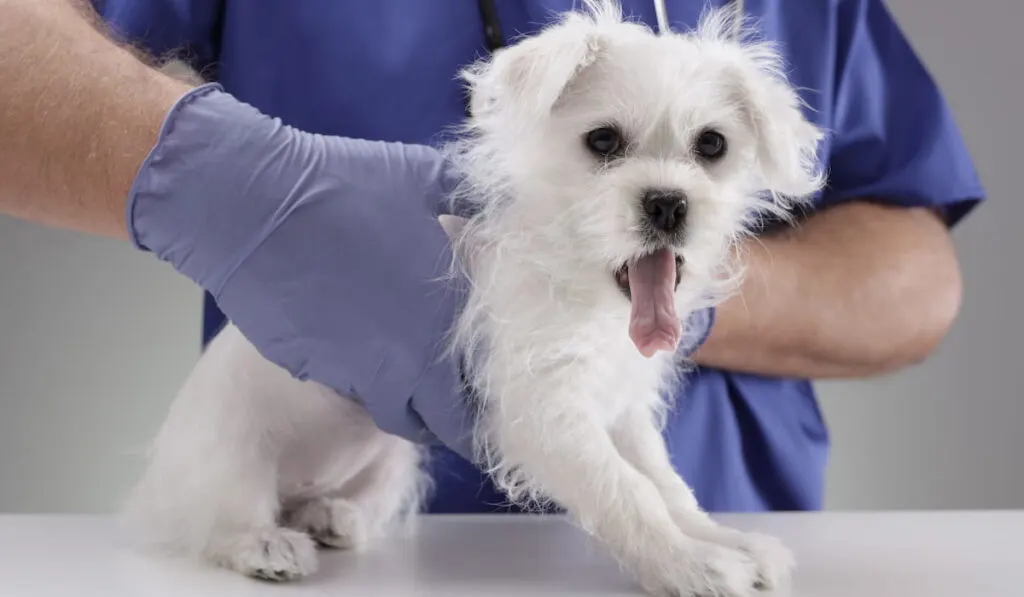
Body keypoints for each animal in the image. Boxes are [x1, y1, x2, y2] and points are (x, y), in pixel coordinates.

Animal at [121, 2, 823, 593]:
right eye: (602, 142)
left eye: (712, 146)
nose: (669, 203)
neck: (582, 286)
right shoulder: (543, 412)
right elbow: (629, 492)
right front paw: (691, 564)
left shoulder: (620, 408)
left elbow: (669, 486)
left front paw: (720, 540)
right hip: (230, 453)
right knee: (220, 521)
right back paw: (265, 542)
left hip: (393, 457)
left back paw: (331, 514)